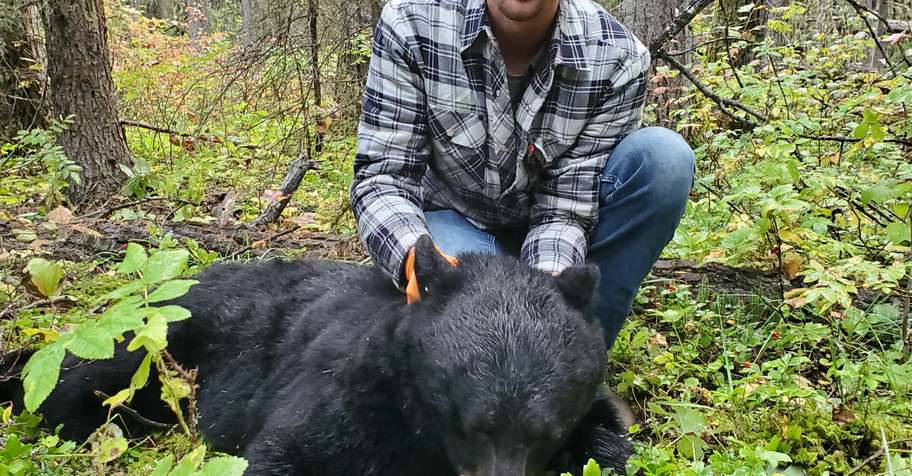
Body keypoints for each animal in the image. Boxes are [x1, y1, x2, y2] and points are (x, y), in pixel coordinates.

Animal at [0, 235, 633, 475]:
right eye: (471, 422)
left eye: (545, 432)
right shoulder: (350, 393)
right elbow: (288, 452)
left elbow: (609, 442)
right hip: (154, 340)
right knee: (75, 388)